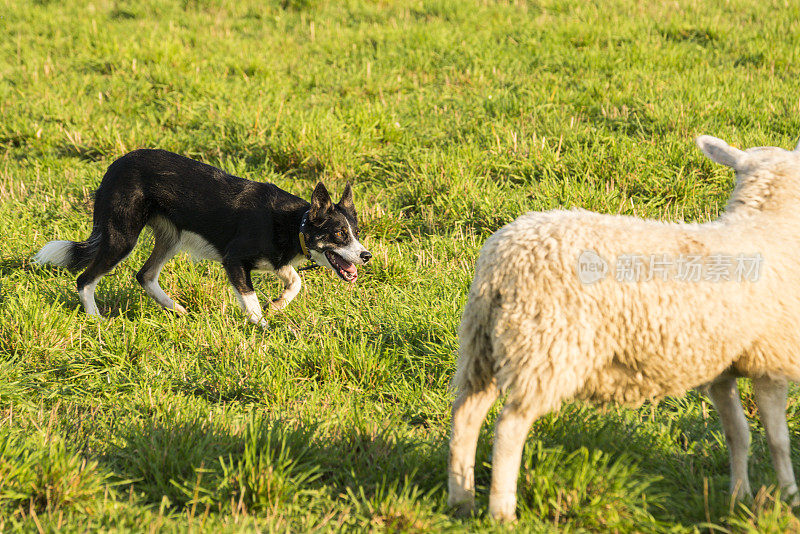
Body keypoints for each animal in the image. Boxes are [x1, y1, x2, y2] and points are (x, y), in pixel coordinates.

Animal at [446, 135, 800, 524]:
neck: (767, 226)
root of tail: (503, 261)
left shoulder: (724, 364)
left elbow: (738, 434)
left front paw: (739, 498)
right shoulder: (772, 357)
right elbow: (778, 439)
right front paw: (789, 496)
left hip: (483, 345)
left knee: (466, 414)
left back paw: (461, 500)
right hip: (548, 346)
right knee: (509, 427)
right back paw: (502, 512)